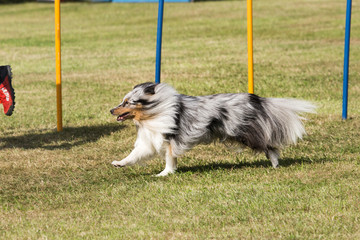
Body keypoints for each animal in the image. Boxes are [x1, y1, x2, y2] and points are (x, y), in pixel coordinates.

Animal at [109, 82, 316, 176]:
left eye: (127, 102)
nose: (111, 110)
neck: (153, 112)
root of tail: (256, 99)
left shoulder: (170, 140)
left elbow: (169, 159)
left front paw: (164, 174)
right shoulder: (150, 141)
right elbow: (133, 155)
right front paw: (119, 163)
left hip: (244, 133)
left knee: (270, 146)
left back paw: (274, 164)